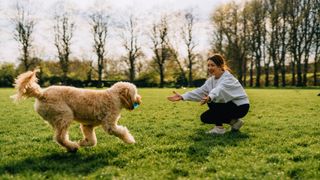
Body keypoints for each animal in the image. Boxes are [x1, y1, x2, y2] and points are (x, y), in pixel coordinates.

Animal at [10, 69, 141, 152]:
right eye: (135, 93)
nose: (140, 100)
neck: (115, 97)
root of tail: (41, 94)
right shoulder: (109, 125)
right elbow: (121, 132)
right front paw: (130, 140)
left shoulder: (87, 125)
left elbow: (92, 140)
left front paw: (83, 142)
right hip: (64, 115)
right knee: (60, 138)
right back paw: (73, 147)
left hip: (58, 119)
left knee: (59, 137)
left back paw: (72, 147)